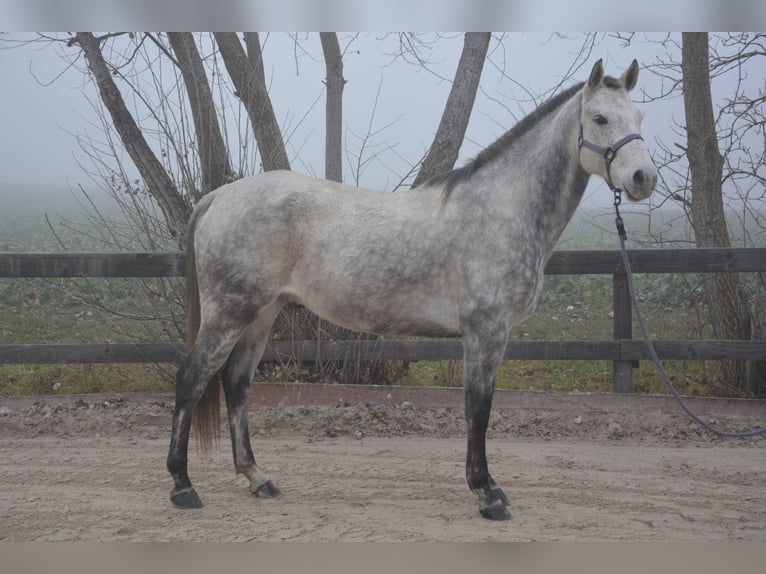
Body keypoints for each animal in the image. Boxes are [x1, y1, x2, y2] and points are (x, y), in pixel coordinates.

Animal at [167, 59, 658, 521]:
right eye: (599, 118)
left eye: (638, 115)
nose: (643, 178)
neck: (500, 210)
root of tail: (219, 198)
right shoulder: (486, 332)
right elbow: (478, 408)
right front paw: (488, 493)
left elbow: (479, 408)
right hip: (229, 313)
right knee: (191, 380)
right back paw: (183, 487)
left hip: (261, 314)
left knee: (236, 385)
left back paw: (257, 477)